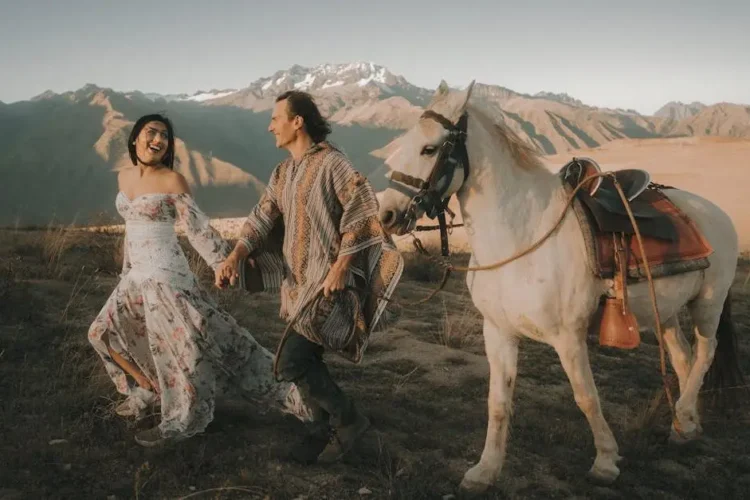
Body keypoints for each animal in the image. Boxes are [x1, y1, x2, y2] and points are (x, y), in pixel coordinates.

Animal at [378, 80, 744, 494]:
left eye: (430, 148)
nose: (387, 215)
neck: (523, 236)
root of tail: (714, 213)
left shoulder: (568, 336)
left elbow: (586, 396)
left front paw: (605, 460)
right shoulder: (498, 332)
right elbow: (498, 402)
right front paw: (485, 470)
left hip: (708, 303)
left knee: (705, 353)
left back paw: (683, 414)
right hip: (664, 310)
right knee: (683, 358)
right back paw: (686, 425)